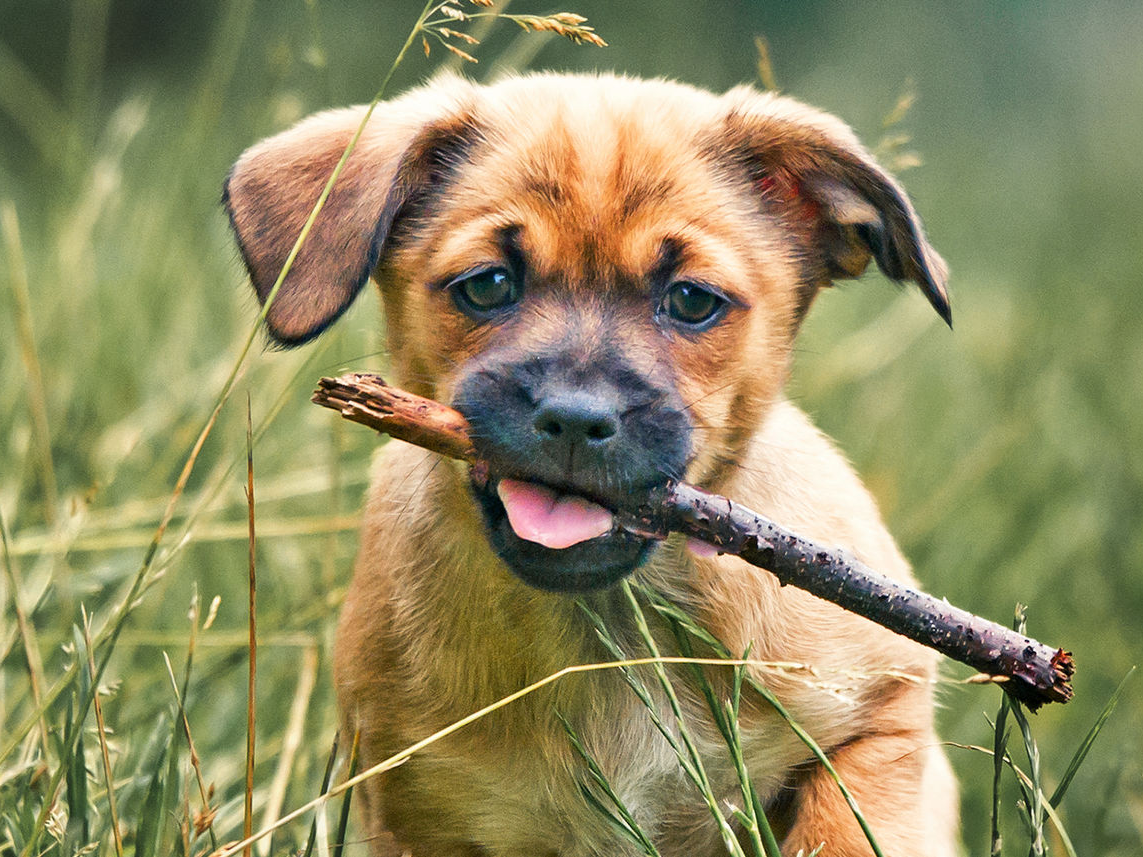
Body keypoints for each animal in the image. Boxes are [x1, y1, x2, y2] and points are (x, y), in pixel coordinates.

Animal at [222, 73, 955, 857]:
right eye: (487, 285)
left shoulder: (879, 721)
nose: (575, 419)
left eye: (691, 301)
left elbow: (842, 828)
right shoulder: (418, 809)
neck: (607, 628)